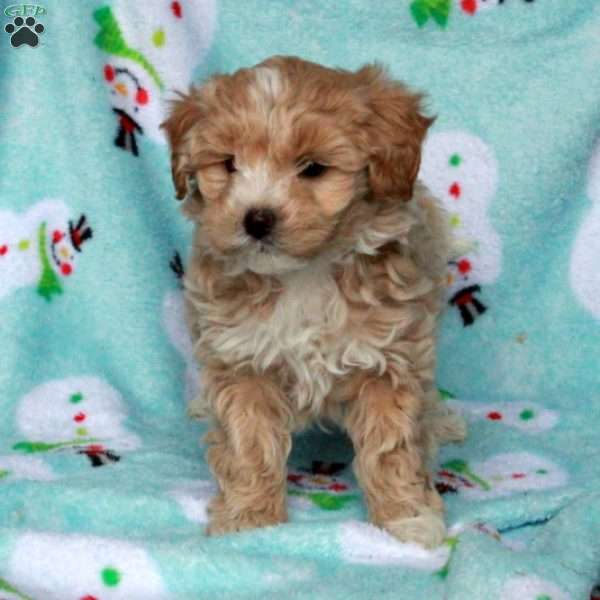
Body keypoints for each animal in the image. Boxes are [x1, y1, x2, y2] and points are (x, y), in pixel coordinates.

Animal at [162, 56, 466, 548]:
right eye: (228, 164)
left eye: (313, 169)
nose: (256, 218)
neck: (304, 273)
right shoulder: (241, 359)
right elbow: (249, 442)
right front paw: (250, 518)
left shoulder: (389, 357)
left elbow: (392, 446)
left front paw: (405, 519)